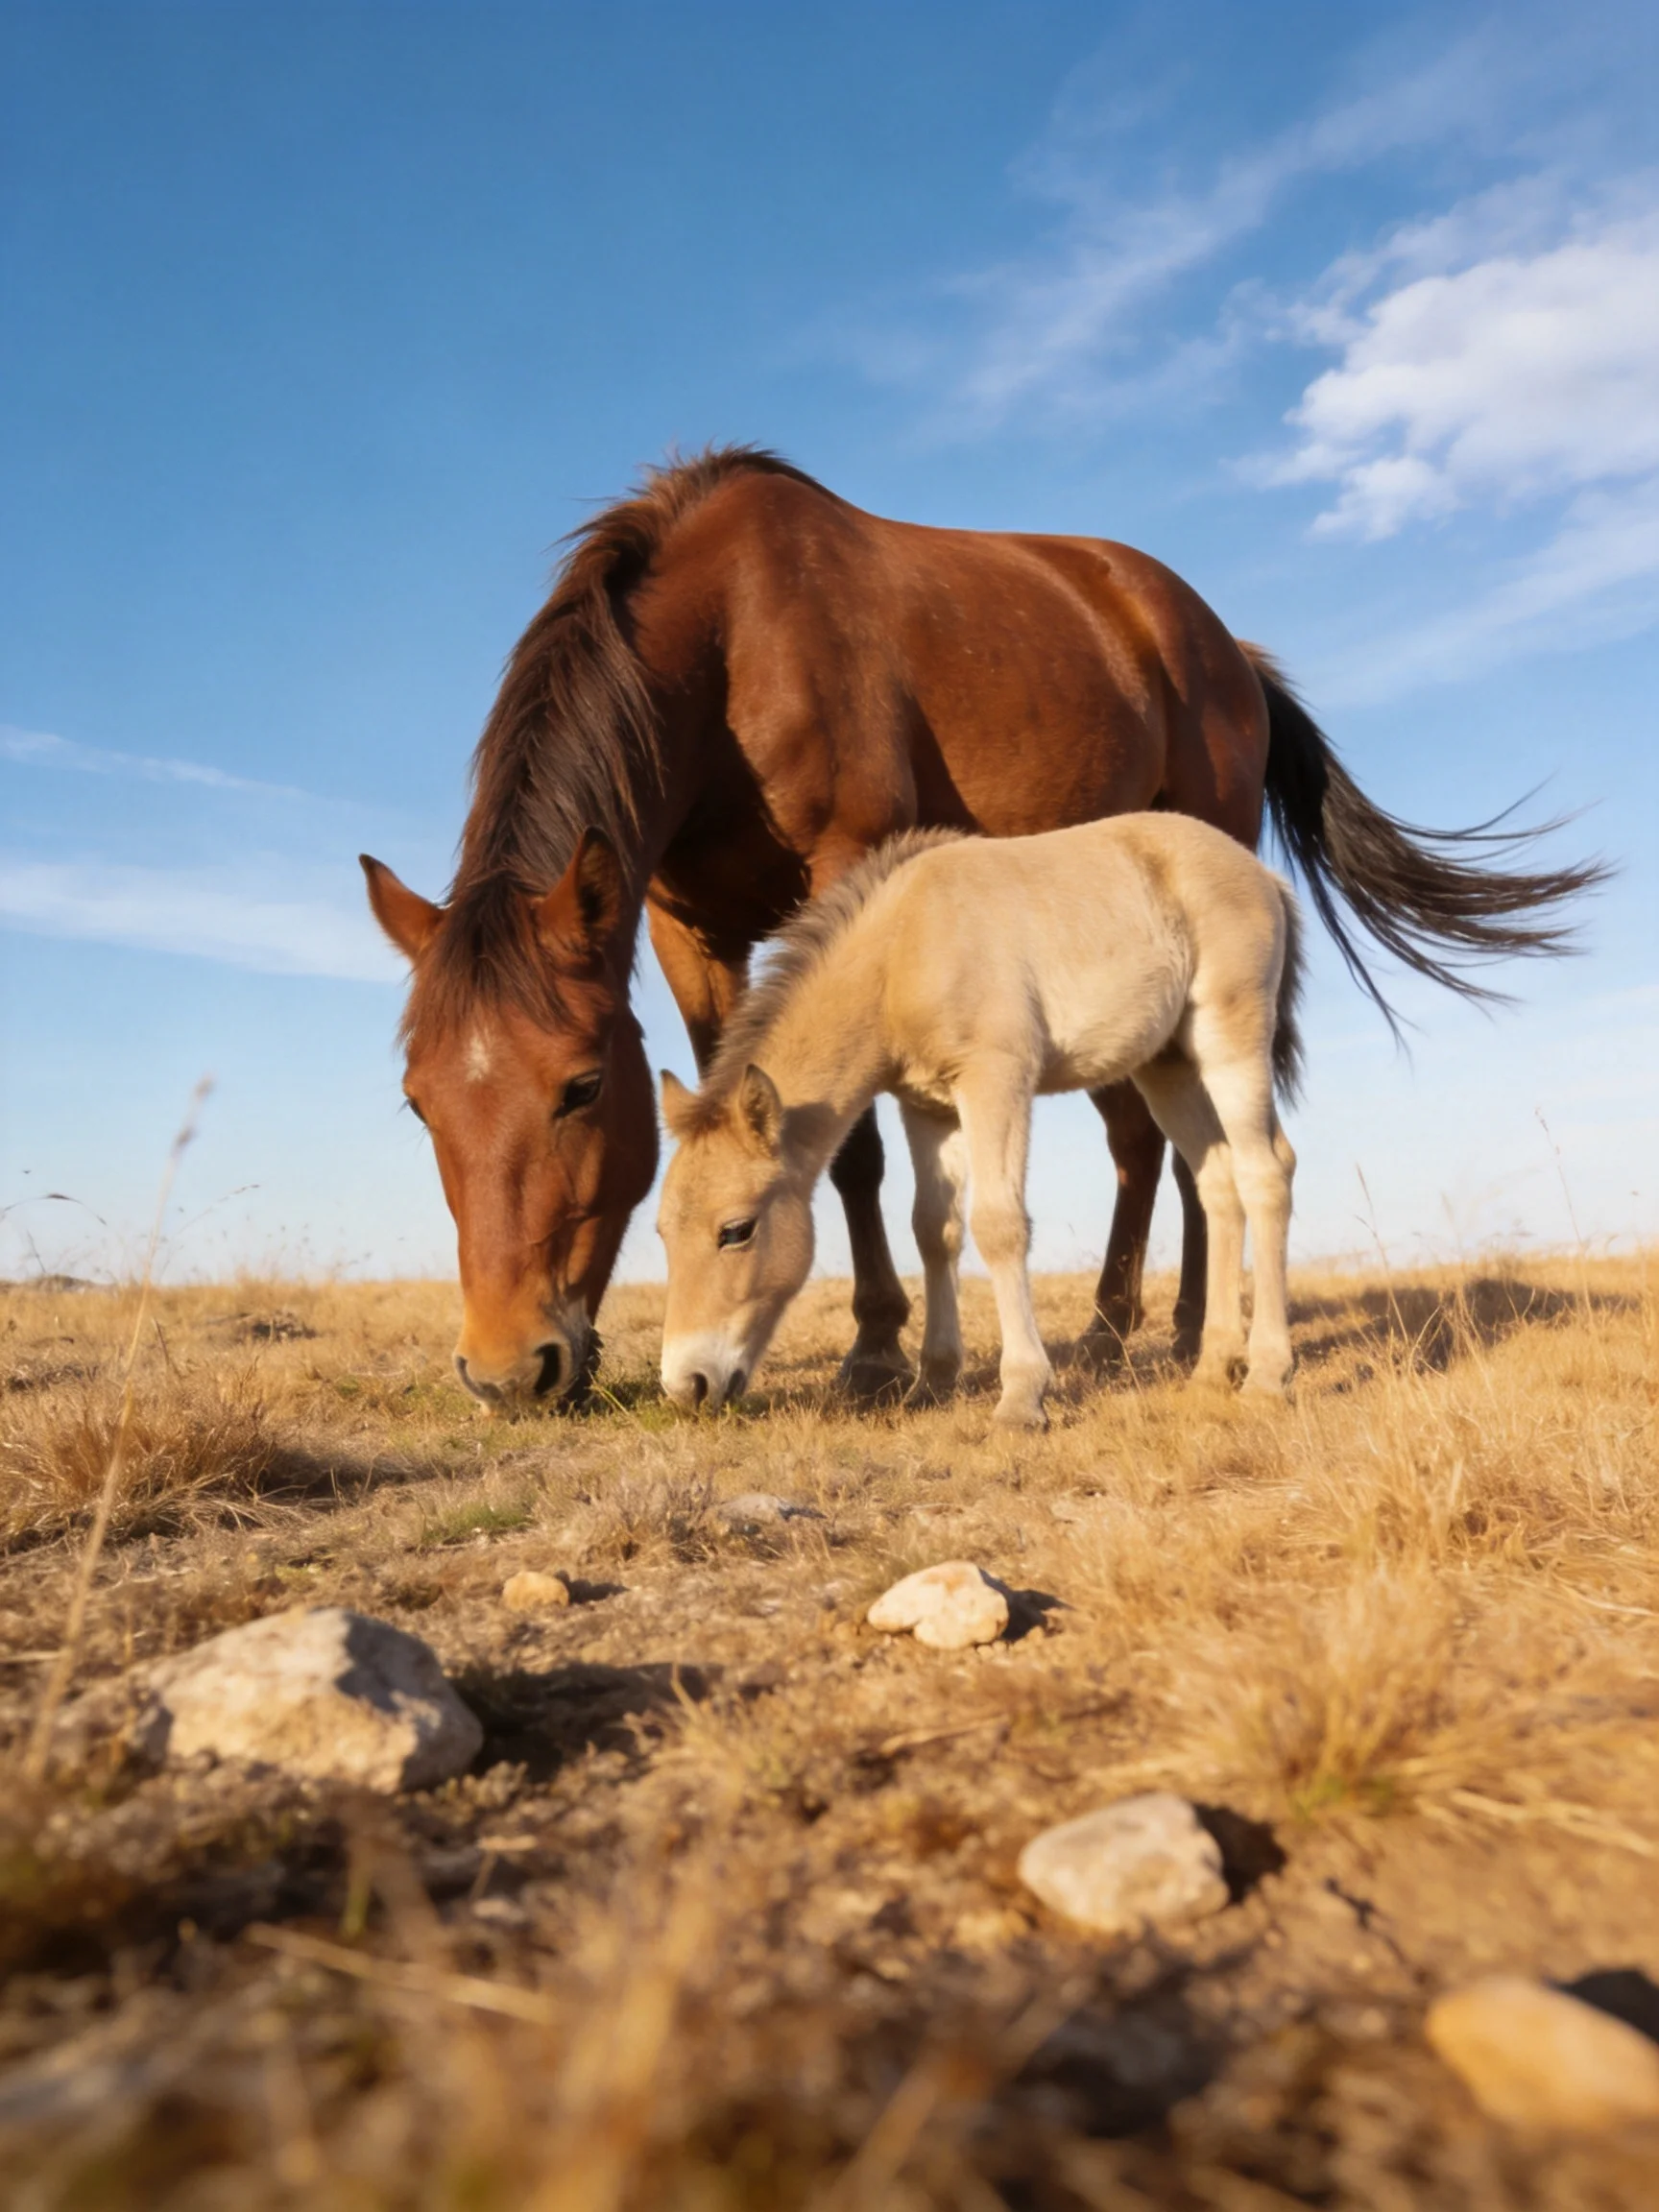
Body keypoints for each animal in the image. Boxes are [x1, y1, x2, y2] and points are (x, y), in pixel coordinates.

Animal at [655, 815, 1304, 1430]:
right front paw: (932, 1381)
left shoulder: (997, 1079)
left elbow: (999, 1225)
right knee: (1218, 1183)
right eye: (661, 1233)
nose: (687, 1385)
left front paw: (1021, 1398)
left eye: (736, 1230)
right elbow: (933, 1229)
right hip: (1166, 1065)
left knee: (1266, 1172)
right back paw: (1213, 1370)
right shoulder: (928, 1107)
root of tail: (1263, 875)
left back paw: (1267, 1375)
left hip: (1229, 1040)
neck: (903, 948)